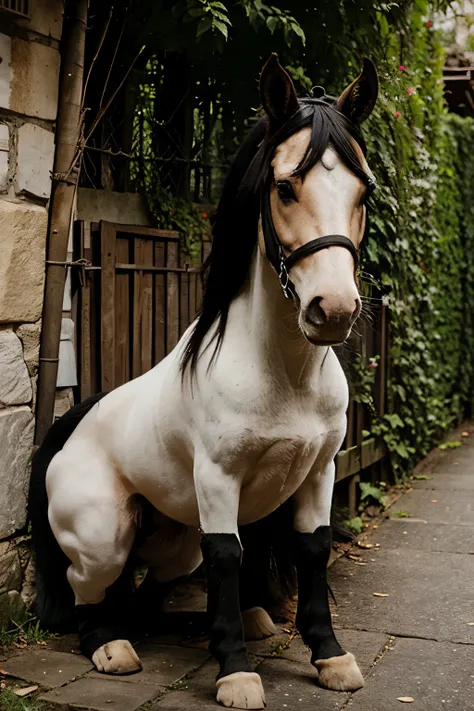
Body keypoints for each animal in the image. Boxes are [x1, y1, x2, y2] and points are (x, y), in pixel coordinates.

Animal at [28, 52, 378, 708]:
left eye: (363, 189)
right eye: (285, 186)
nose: (334, 309)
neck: (280, 371)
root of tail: (67, 434)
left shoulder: (317, 473)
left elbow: (312, 550)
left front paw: (328, 655)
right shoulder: (219, 479)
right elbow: (229, 556)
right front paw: (235, 671)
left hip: (175, 544)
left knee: (146, 597)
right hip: (105, 536)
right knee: (91, 595)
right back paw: (111, 646)